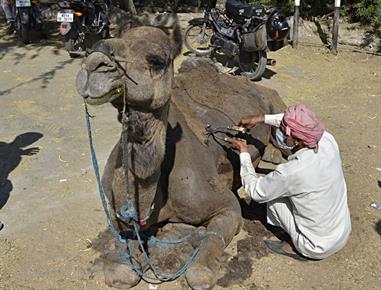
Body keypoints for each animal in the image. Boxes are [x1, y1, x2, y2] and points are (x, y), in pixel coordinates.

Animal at [76, 13, 284, 288]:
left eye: (156, 60)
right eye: (96, 46)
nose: (94, 65)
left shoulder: (227, 206)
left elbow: (200, 271)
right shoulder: (114, 213)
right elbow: (121, 271)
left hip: (274, 98)